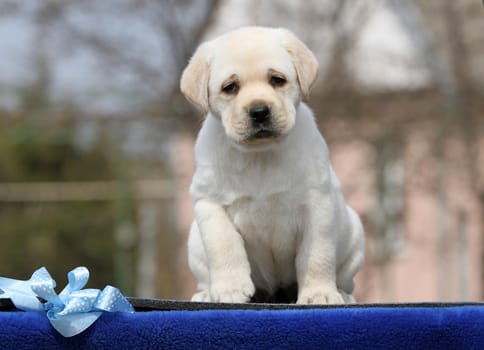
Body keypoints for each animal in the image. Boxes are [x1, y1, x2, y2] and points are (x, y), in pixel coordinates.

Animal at [181, 26, 364, 304]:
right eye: (230, 87)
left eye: (277, 80)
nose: (259, 111)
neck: (260, 155)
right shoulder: (209, 203)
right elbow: (224, 246)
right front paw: (231, 289)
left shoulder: (317, 205)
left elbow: (316, 255)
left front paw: (319, 294)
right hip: (194, 242)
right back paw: (205, 294)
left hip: (354, 234)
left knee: (344, 278)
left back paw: (342, 294)